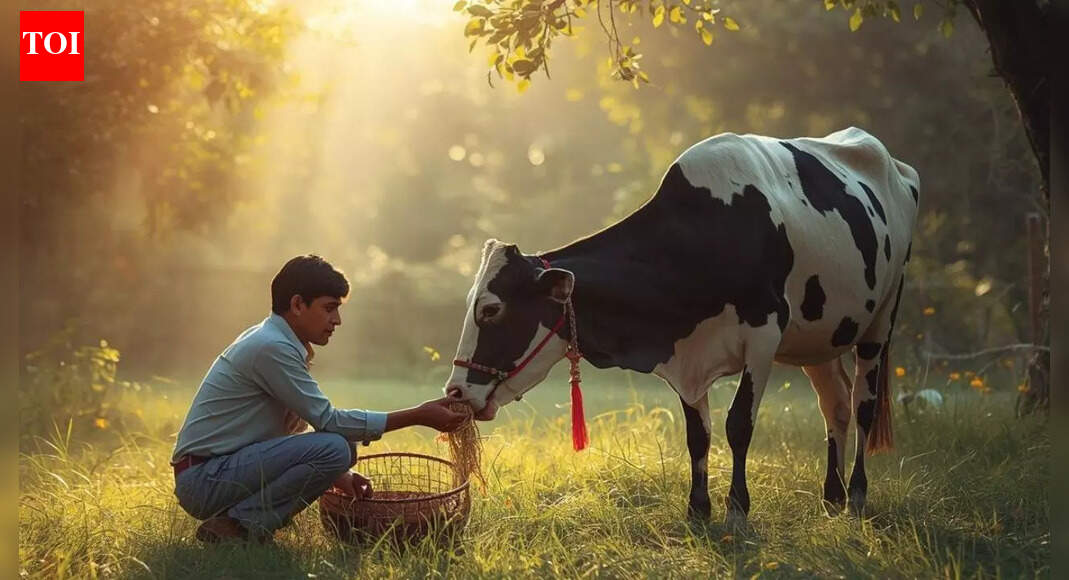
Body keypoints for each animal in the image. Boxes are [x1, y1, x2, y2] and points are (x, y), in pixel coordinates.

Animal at [444, 127, 919, 525]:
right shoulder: (687, 358)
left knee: (862, 404)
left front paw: (736, 510)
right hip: (819, 338)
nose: (456, 392)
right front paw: (697, 509)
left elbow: (738, 424)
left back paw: (856, 495)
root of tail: (896, 164)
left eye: (491, 310)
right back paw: (832, 496)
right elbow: (698, 434)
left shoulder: (763, 333)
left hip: (882, 317)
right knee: (834, 405)